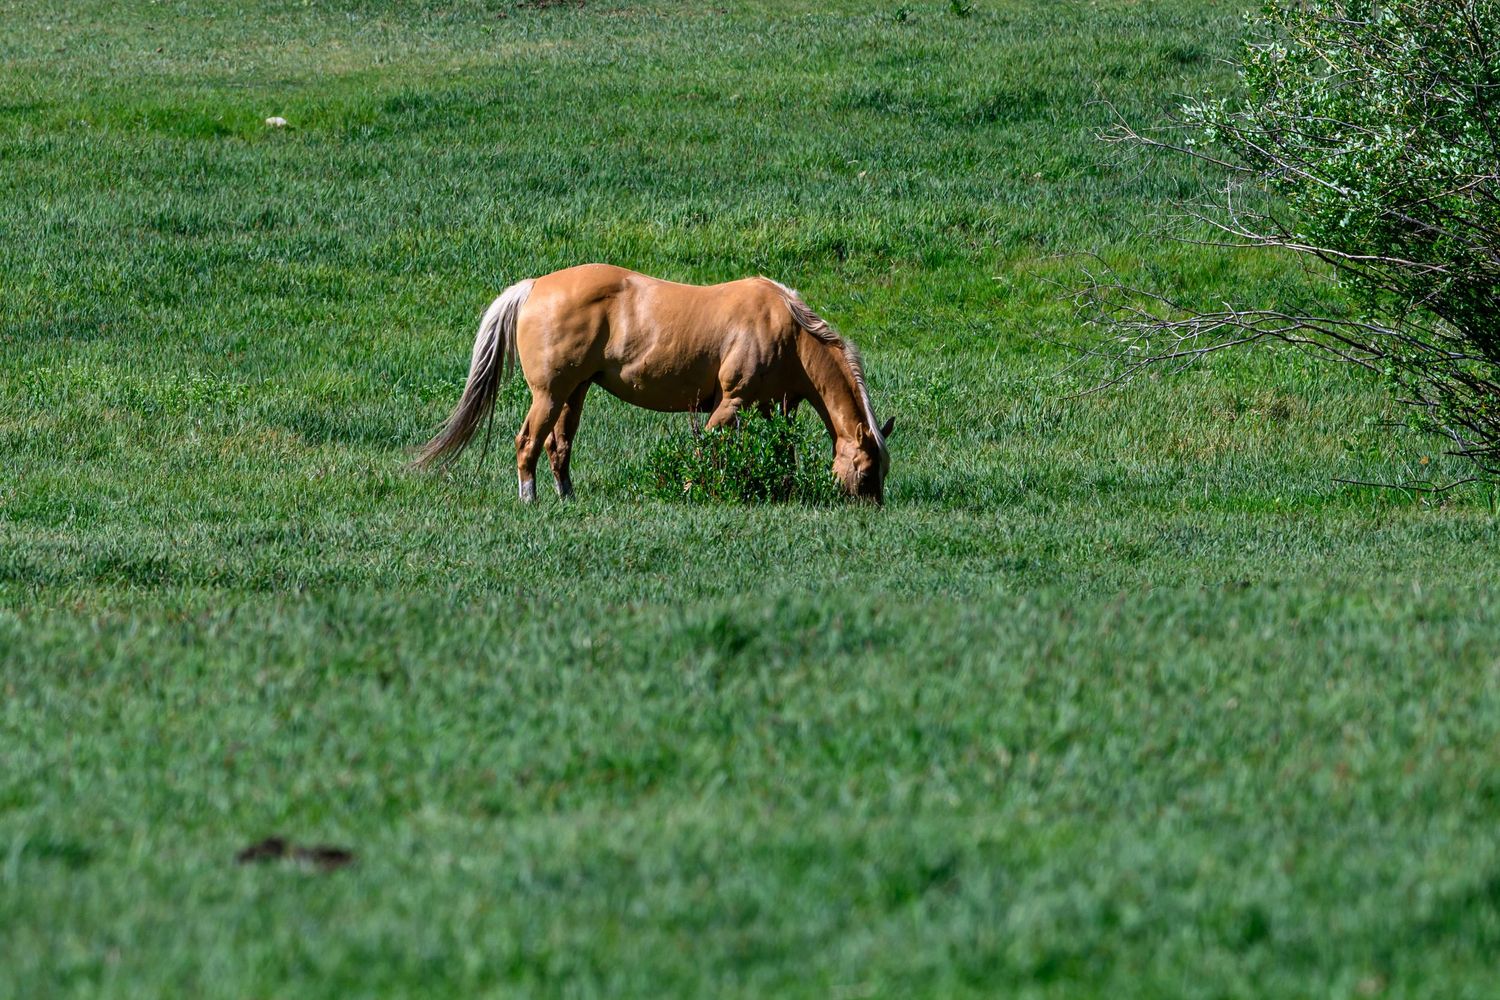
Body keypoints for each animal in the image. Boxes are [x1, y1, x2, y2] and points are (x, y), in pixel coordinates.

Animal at [416, 264, 894, 502]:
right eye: (867, 471)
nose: (868, 509)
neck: (787, 328)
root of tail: (533, 287)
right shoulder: (731, 403)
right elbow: (706, 450)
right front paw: (690, 491)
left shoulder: (773, 408)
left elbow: (782, 454)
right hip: (549, 395)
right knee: (528, 443)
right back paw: (528, 499)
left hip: (574, 393)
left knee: (558, 446)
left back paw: (567, 498)